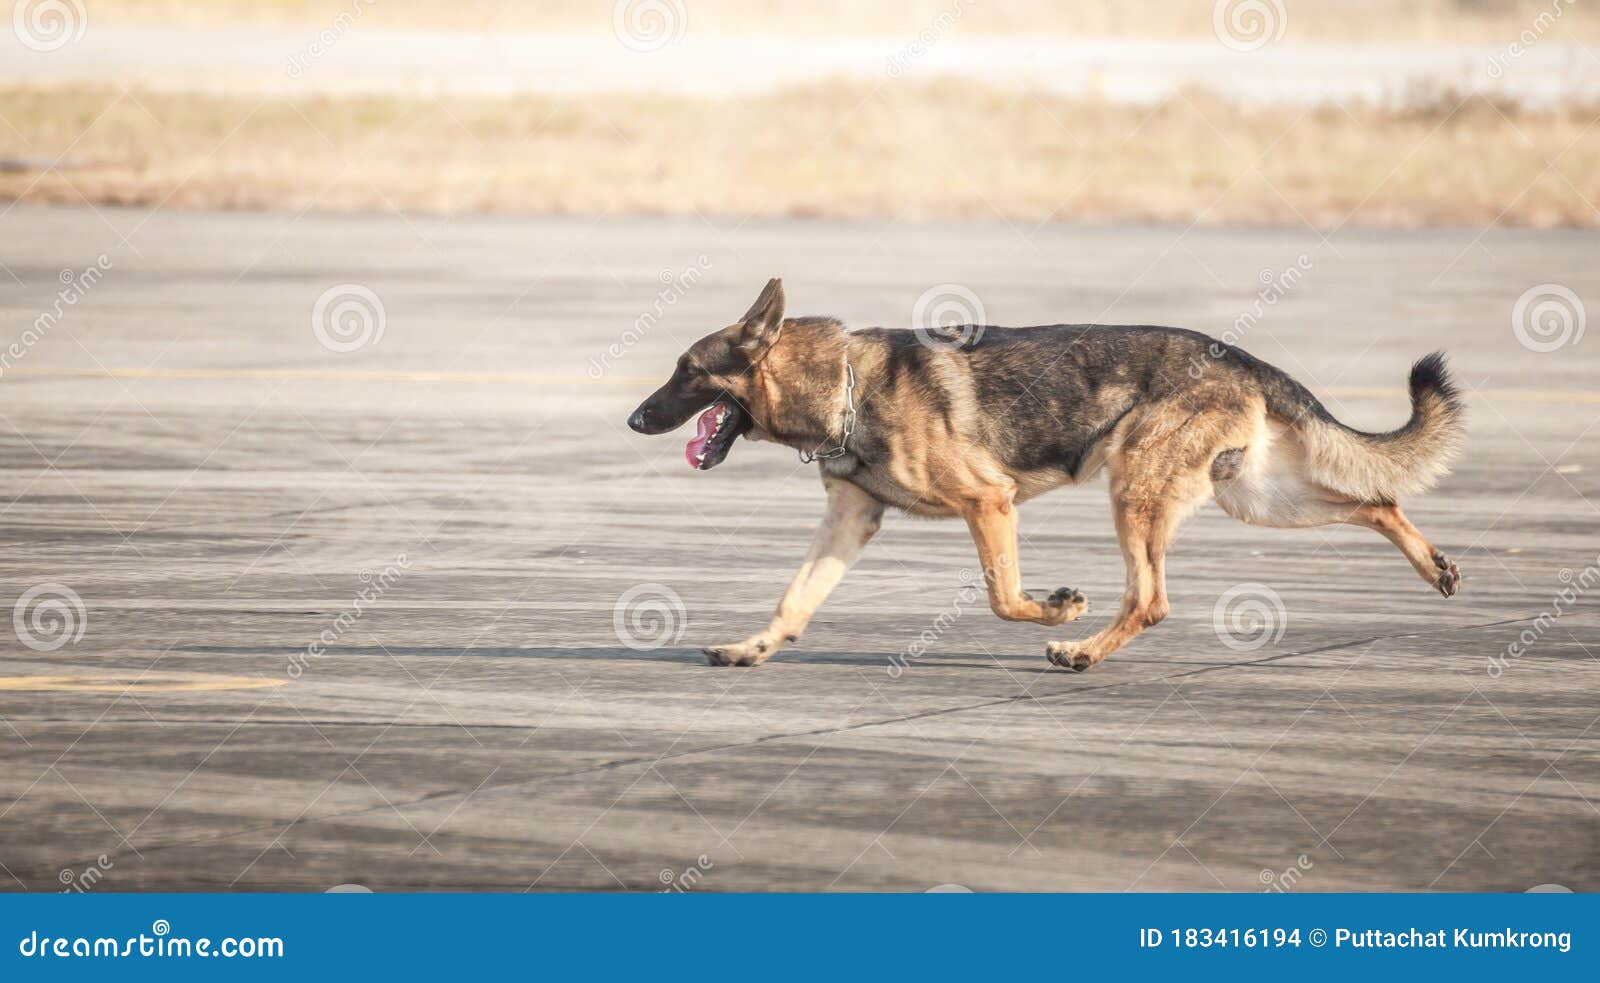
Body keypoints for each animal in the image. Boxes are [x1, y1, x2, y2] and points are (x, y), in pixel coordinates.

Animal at [624, 281, 1465, 675]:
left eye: (686, 371)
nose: (632, 419)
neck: (844, 384)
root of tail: (1242, 357)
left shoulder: (988, 502)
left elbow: (1003, 597)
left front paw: (1057, 608)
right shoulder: (850, 520)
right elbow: (794, 598)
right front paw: (752, 647)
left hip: (1139, 493)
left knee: (1150, 600)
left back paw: (1083, 650)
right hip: (1253, 495)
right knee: (1378, 498)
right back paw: (1433, 564)